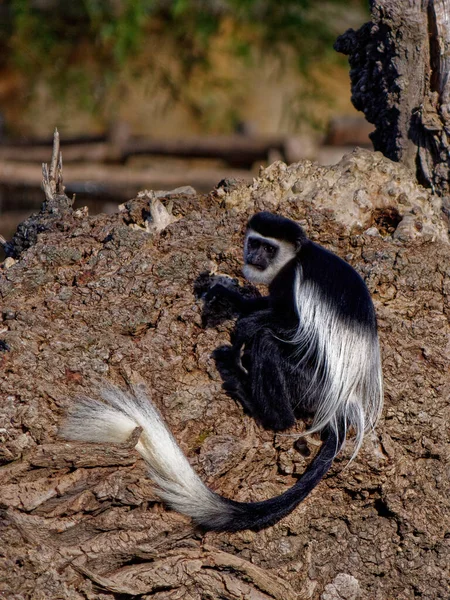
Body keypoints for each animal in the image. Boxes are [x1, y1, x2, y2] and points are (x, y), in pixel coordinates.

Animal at [61, 213, 382, 532]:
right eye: (254, 242)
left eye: (269, 248)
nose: (254, 256)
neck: (294, 259)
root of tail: (346, 402)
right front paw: (231, 298)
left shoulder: (293, 281)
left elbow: (289, 324)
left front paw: (245, 326)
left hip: (311, 384)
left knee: (270, 348)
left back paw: (259, 403)